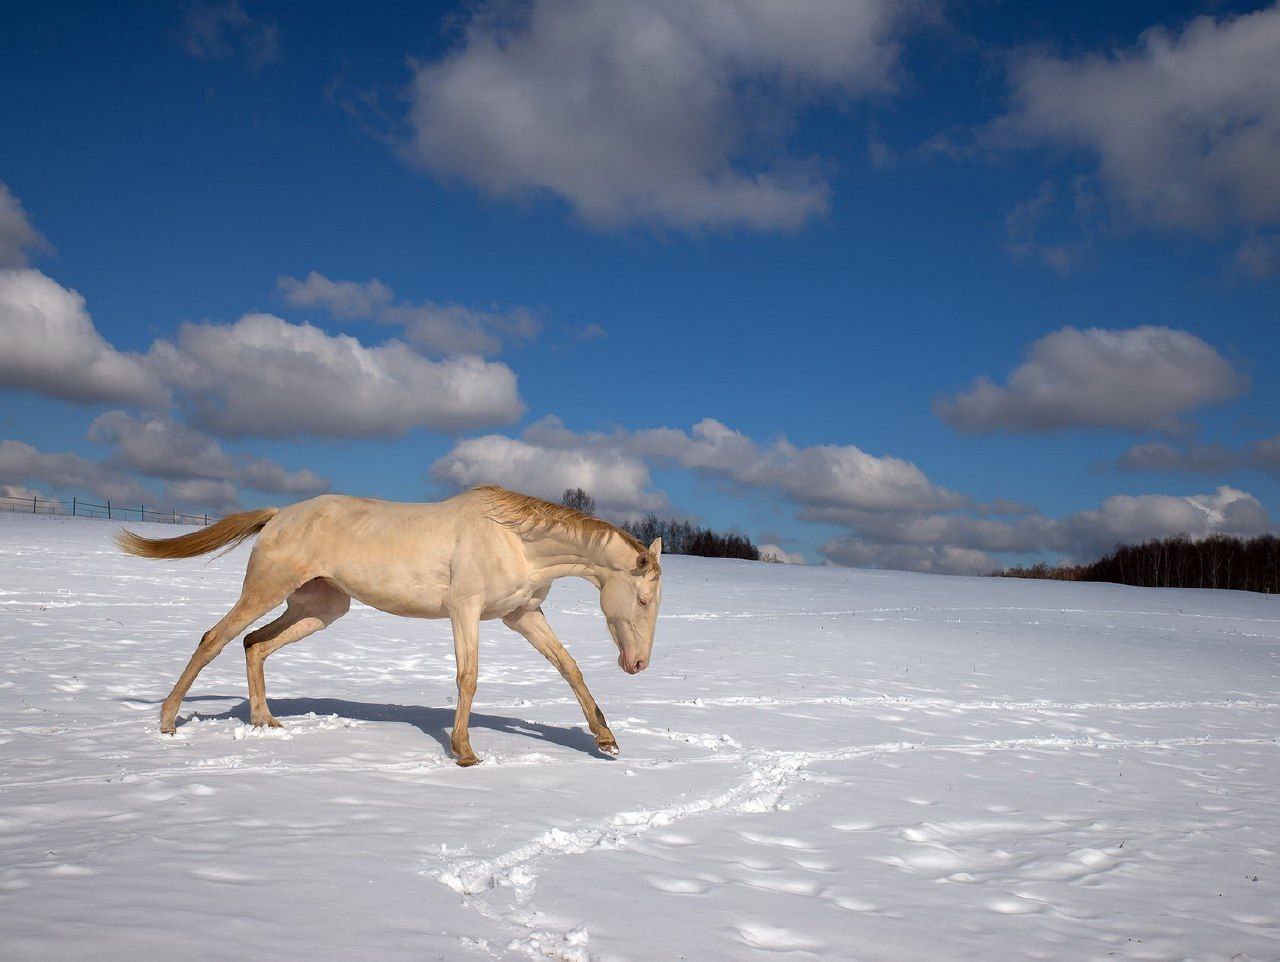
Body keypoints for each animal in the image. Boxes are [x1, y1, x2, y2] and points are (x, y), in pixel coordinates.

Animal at [115, 488, 665, 767]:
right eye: (642, 598)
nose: (638, 664)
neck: (516, 542)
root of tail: (278, 515)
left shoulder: (523, 617)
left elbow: (569, 668)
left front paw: (605, 740)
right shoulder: (464, 611)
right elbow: (468, 678)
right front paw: (464, 752)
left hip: (321, 607)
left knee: (255, 644)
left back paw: (265, 722)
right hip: (265, 591)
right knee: (217, 638)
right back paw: (168, 722)